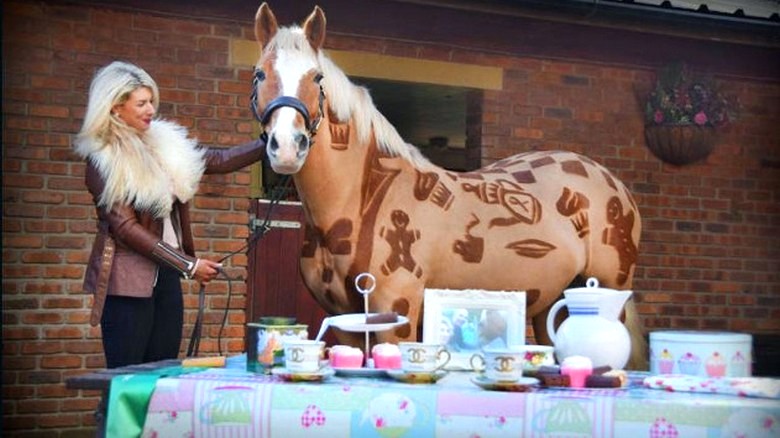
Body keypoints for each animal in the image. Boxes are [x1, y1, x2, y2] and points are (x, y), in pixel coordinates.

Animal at [249, 3, 648, 369]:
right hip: (554, 303)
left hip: (607, 290)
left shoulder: (395, 313)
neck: (366, 199)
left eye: (316, 78)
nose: (288, 147)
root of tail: (612, 184)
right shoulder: (344, 318)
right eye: (259, 74)